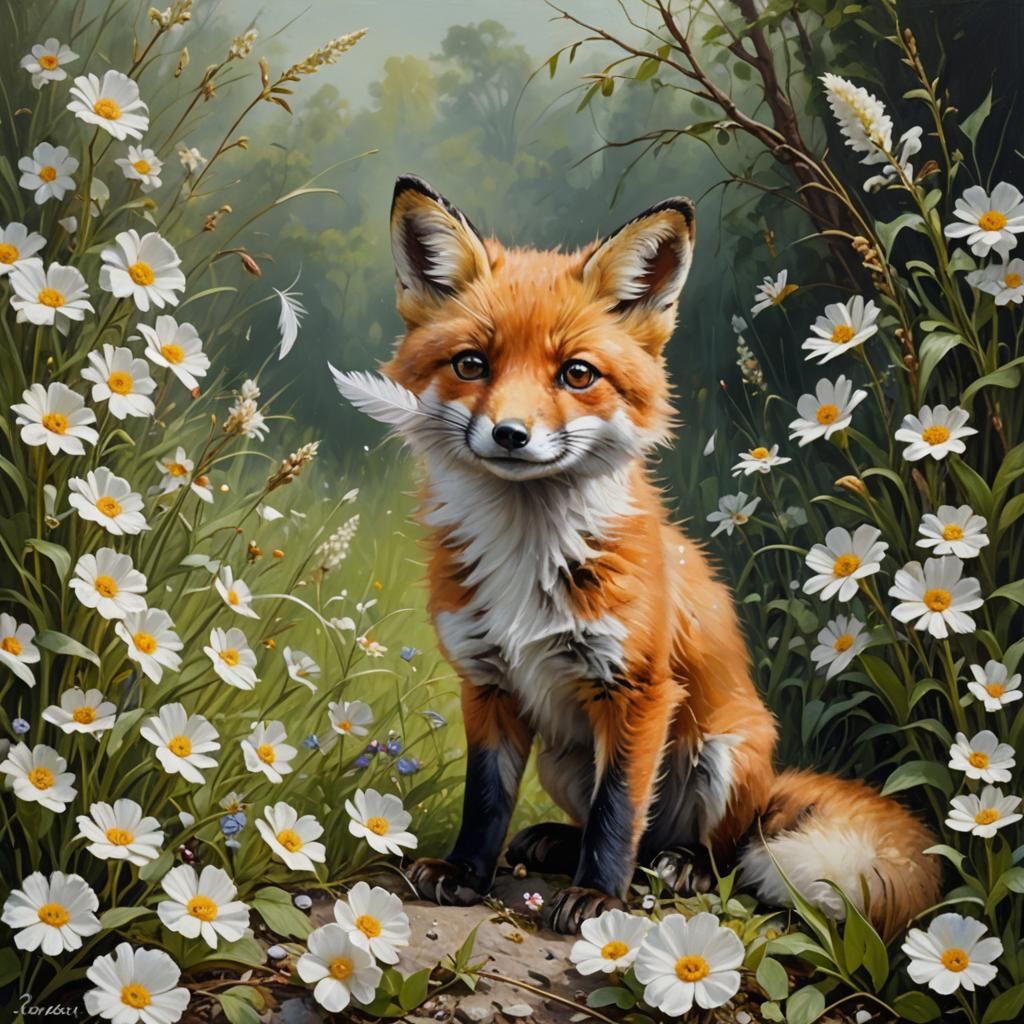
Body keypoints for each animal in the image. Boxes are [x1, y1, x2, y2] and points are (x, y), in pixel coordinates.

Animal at [333, 174, 940, 936]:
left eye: (577, 374)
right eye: (472, 364)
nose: (509, 434)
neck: (526, 554)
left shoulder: (638, 689)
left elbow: (618, 810)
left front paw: (598, 899)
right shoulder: (487, 681)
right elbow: (486, 800)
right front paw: (468, 873)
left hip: (723, 752)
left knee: (711, 850)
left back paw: (680, 866)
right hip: (563, 761)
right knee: (629, 833)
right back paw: (558, 844)